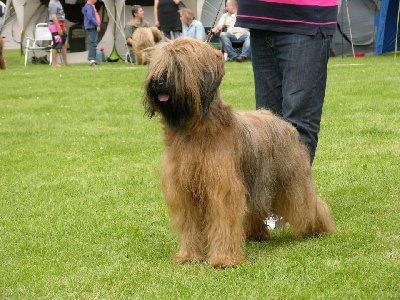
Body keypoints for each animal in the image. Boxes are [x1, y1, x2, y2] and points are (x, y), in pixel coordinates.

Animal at [144, 38, 334, 270]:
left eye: (178, 64)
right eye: (157, 63)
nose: (157, 81)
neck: (195, 128)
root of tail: (281, 121)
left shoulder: (222, 186)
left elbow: (224, 221)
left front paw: (224, 259)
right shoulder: (184, 189)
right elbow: (190, 223)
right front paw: (189, 255)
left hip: (292, 181)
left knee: (310, 203)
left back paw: (319, 228)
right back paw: (255, 233)